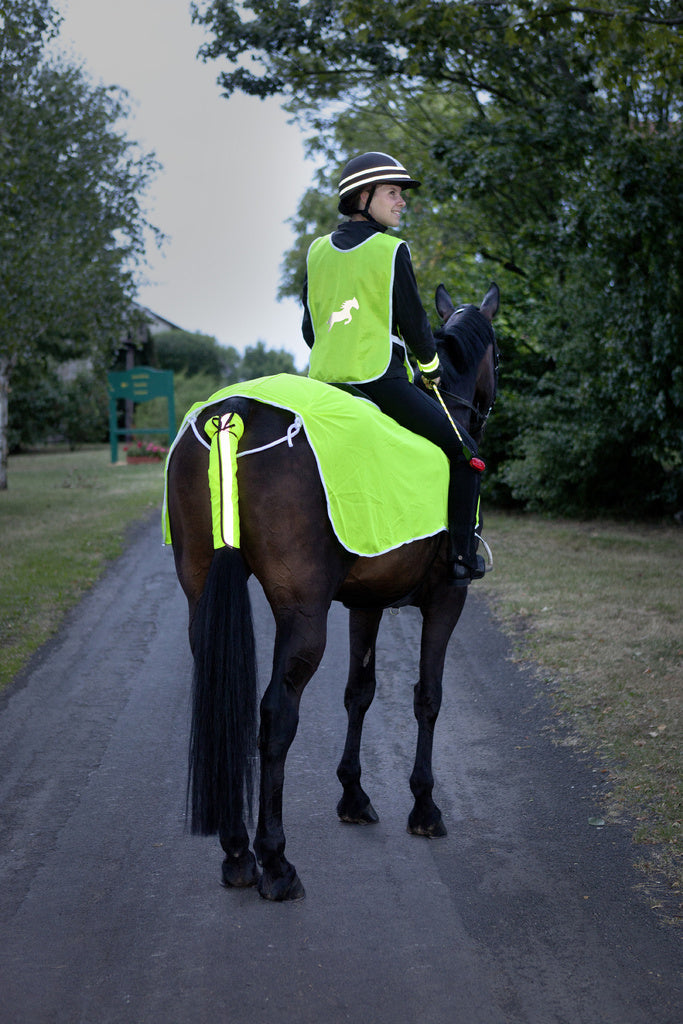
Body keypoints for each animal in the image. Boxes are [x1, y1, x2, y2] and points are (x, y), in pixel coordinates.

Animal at [166, 282, 500, 901]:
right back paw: (274, 861)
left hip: (201, 594)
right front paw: (425, 806)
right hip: (303, 616)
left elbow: (359, 692)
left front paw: (353, 794)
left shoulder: (366, 602)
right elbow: (428, 696)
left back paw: (236, 852)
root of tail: (231, 417)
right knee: (276, 717)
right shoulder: (447, 598)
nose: (486, 412)